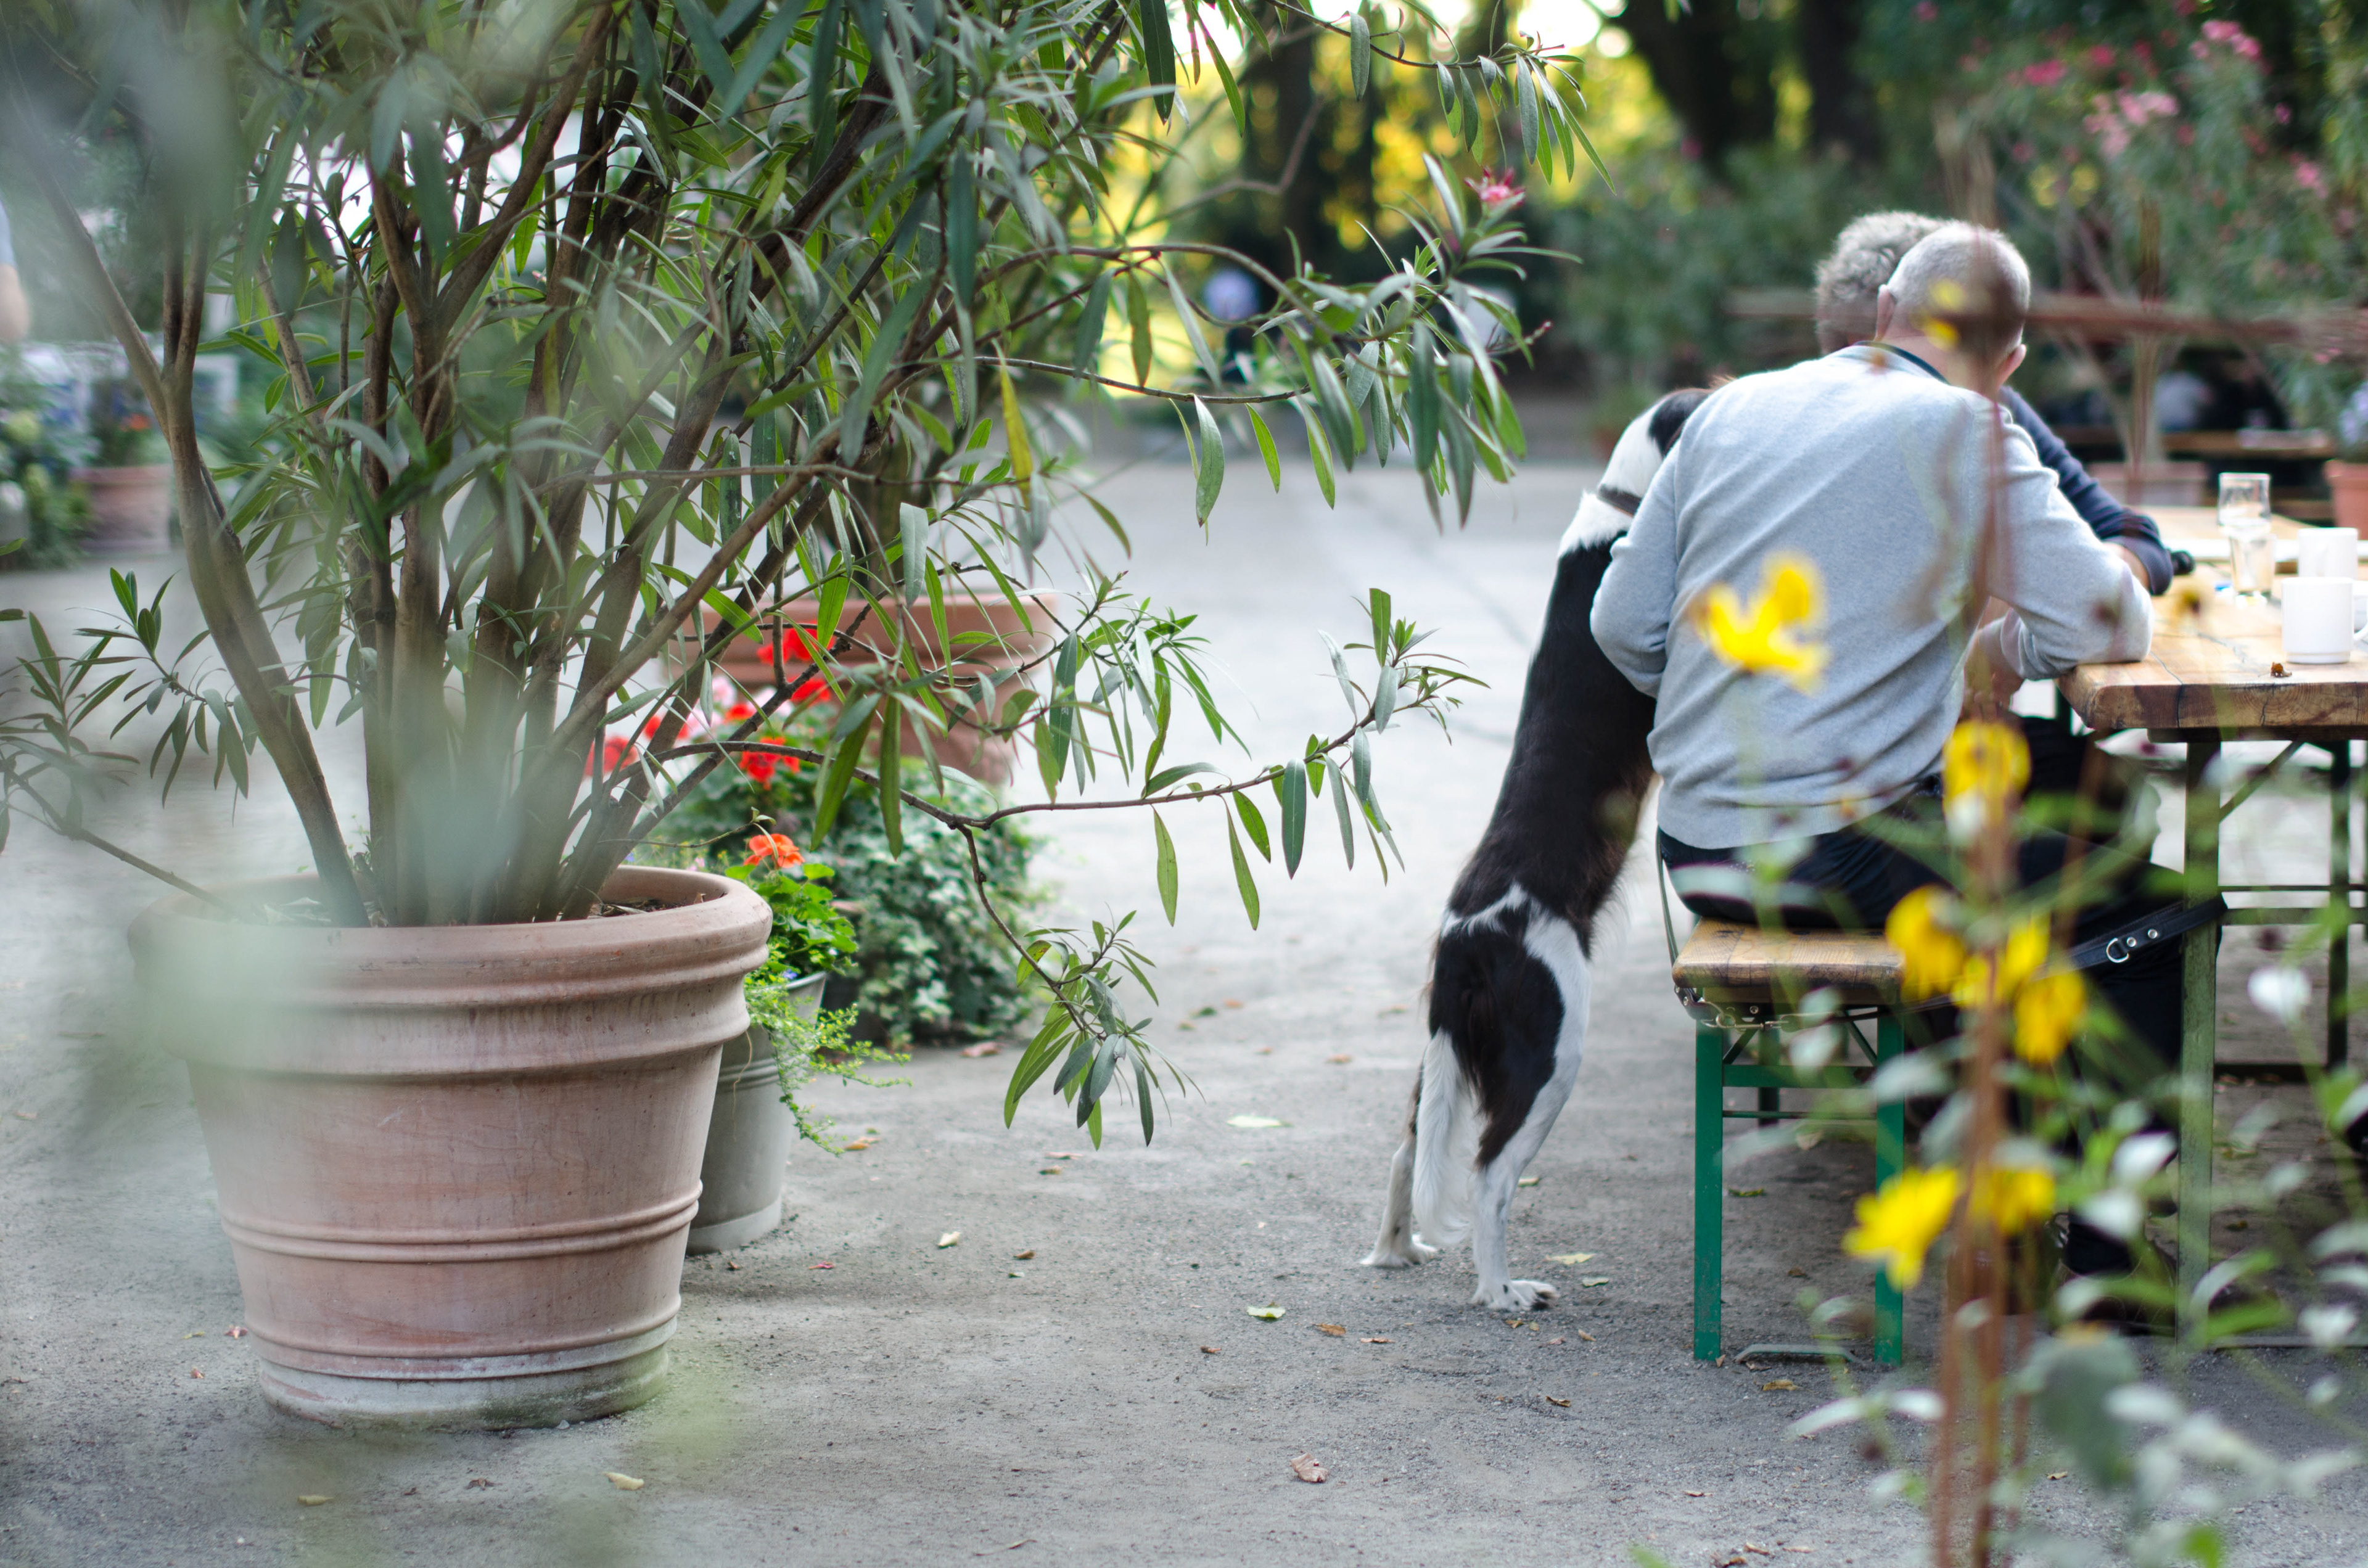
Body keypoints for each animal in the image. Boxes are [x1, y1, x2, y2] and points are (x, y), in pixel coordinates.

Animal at [1362, 390, 1709, 1311]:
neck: (1624, 502)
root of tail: (1466, 939)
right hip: (1553, 1047)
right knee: (1489, 1174)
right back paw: (1503, 1290)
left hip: (1446, 1052)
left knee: (1409, 1150)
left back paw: (1398, 1252)